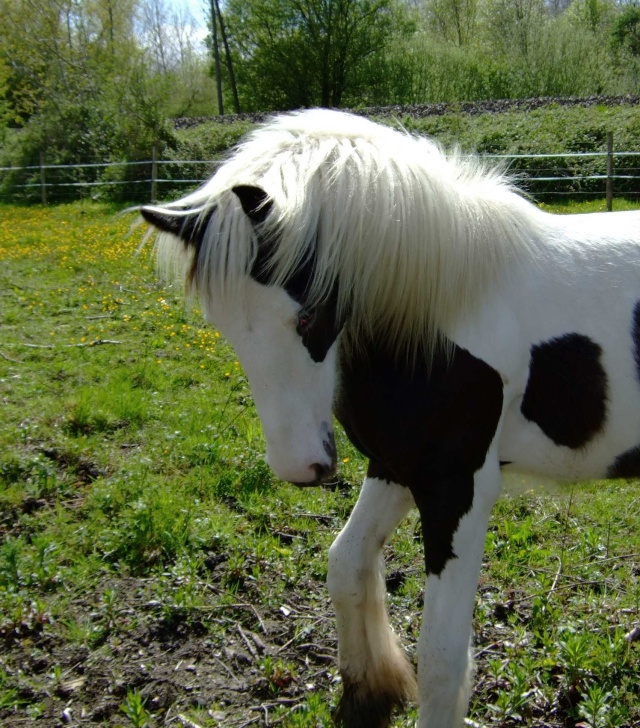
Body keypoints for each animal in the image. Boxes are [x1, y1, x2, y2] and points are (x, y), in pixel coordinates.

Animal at [140, 109, 640, 728]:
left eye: (308, 316)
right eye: (225, 324)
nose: (300, 467)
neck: (436, 312)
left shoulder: (457, 487)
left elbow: (442, 657)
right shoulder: (395, 466)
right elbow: (346, 564)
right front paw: (369, 690)